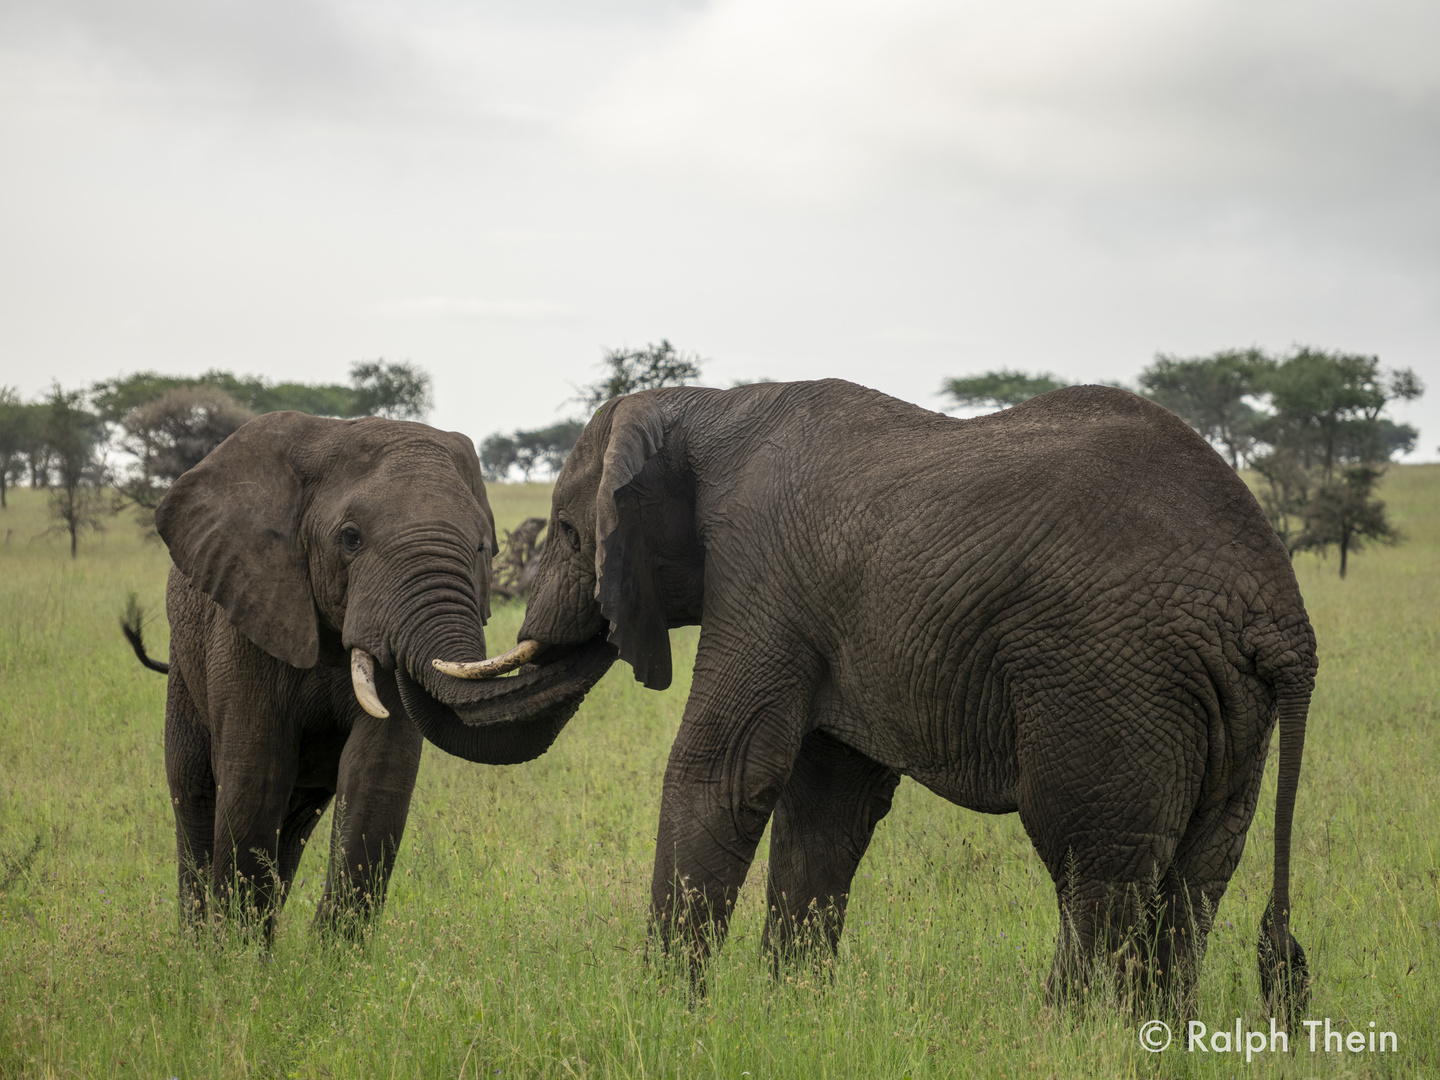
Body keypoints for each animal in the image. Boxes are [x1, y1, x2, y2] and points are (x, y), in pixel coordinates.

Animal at [123, 414, 613, 938]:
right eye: (351, 538)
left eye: (484, 546)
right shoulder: (247, 616)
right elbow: (256, 772)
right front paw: (235, 952)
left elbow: (378, 775)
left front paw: (330, 958)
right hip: (185, 663)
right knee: (194, 793)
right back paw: (198, 944)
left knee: (295, 822)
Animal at [429, 377, 1319, 1013]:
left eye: (567, 534)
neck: (706, 404)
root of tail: (1279, 610)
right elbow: (828, 801)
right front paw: (792, 1014)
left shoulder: (760, 576)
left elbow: (724, 771)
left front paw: (663, 1013)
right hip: (1223, 703)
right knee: (1200, 870)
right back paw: (1150, 1034)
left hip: (1110, 673)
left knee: (1094, 865)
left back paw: (1064, 1032)